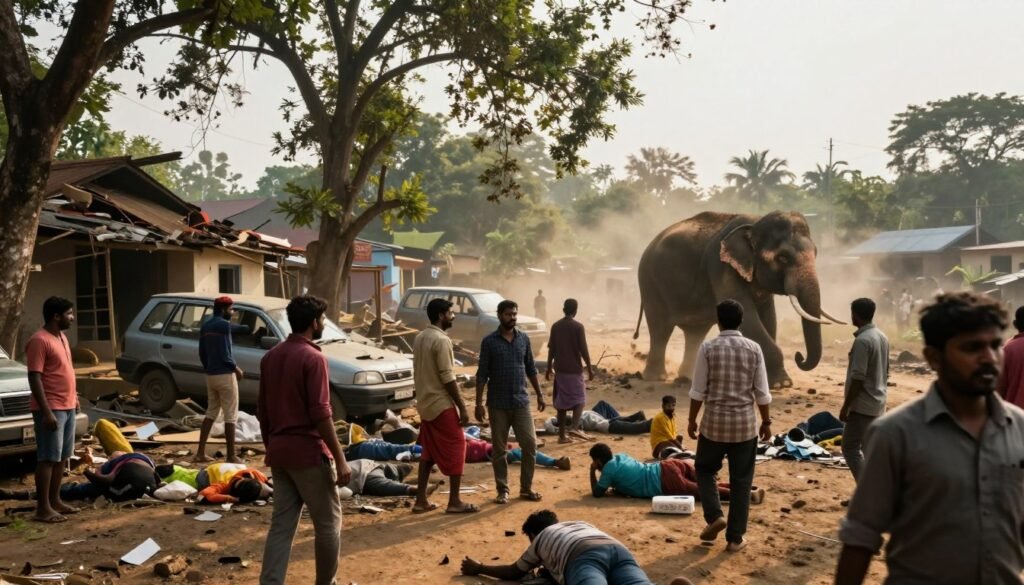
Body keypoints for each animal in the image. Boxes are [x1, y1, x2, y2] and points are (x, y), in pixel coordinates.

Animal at [633, 211, 844, 388]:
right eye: (783, 258)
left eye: (815, 253)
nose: (799, 356)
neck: (754, 224)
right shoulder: (721, 267)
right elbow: (749, 317)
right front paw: (782, 384)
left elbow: (769, 319)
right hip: (650, 283)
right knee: (661, 329)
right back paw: (657, 378)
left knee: (695, 333)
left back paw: (687, 379)